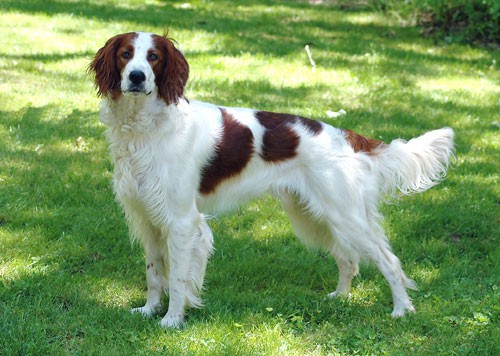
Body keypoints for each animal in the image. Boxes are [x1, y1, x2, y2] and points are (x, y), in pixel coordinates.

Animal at [88, 32, 456, 326]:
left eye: (154, 57)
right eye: (125, 54)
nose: (137, 77)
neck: (145, 128)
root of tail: (344, 136)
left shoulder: (181, 221)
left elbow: (177, 278)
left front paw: (172, 320)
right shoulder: (146, 217)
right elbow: (154, 273)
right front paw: (149, 311)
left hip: (344, 216)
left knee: (388, 260)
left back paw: (402, 309)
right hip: (314, 215)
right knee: (348, 258)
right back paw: (340, 297)